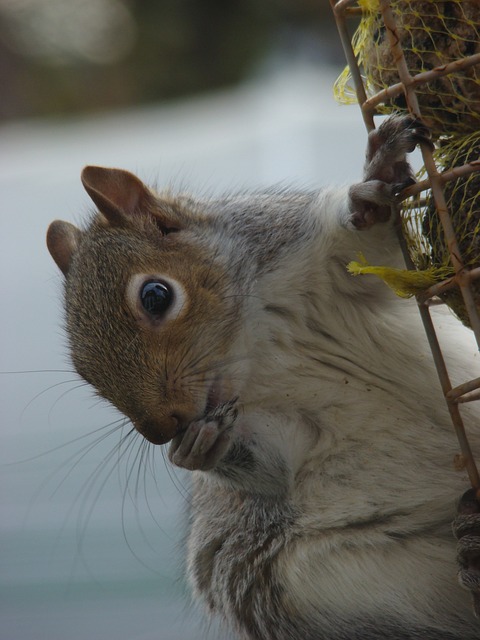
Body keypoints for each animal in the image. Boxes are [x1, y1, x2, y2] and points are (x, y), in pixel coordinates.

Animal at [46, 116, 480, 640]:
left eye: (155, 295)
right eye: (83, 371)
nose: (162, 431)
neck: (256, 350)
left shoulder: (319, 258)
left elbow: (369, 247)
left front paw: (374, 188)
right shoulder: (276, 423)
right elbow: (275, 459)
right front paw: (201, 450)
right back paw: (474, 555)